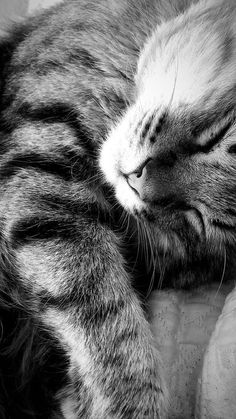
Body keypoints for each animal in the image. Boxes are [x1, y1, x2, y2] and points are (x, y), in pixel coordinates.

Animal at [0, 0, 234, 418]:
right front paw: (128, 402)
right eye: (216, 137)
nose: (137, 182)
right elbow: (102, 312)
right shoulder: (40, 160)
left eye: (201, 218)